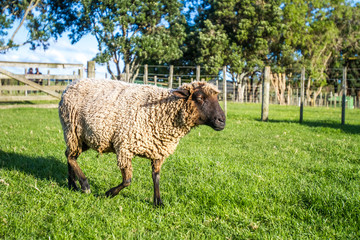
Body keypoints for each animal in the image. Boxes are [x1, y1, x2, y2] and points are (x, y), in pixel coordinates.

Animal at [58, 79, 225, 206]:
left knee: (69, 155)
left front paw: (158, 202)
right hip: (72, 130)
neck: (161, 111)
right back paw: (84, 185)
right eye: (200, 98)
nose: (222, 121)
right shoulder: (124, 147)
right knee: (70, 157)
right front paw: (109, 193)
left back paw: (72, 185)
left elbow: (156, 177)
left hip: (83, 137)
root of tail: (70, 84)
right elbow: (127, 180)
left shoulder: (158, 151)